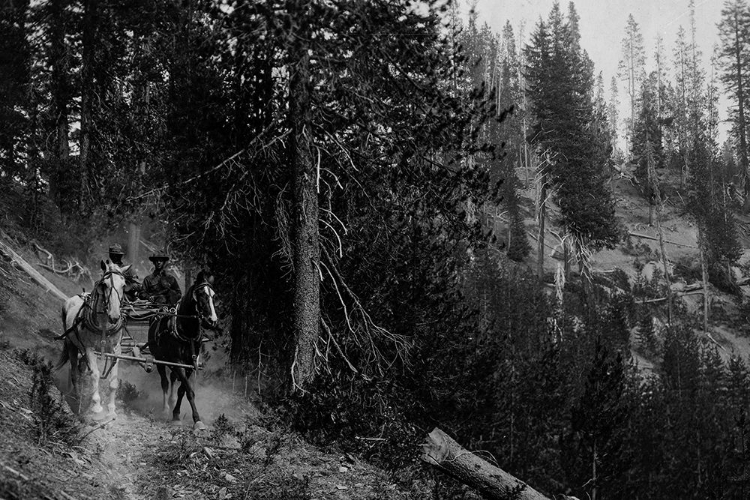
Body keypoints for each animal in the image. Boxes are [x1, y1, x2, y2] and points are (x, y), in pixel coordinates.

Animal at [55, 260, 131, 416]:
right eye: (104, 284)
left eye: (124, 285)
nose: (114, 316)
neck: (104, 325)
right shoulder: (89, 349)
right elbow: (95, 374)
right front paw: (96, 406)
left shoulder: (116, 350)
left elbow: (113, 382)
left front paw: (111, 409)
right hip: (71, 344)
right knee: (75, 372)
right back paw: (78, 397)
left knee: (81, 367)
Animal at [147, 270, 217, 430]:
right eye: (201, 294)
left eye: (213, 295)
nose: (212, 320)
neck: (187, 331)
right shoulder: (178, 362)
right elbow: (189, 391)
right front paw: (196, 419)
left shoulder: (190, 364)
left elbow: (182, 390)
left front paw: (177, 414)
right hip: (159, 359)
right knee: (165, 382)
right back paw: (165, 409)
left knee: (173, 379)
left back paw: (171, 402)